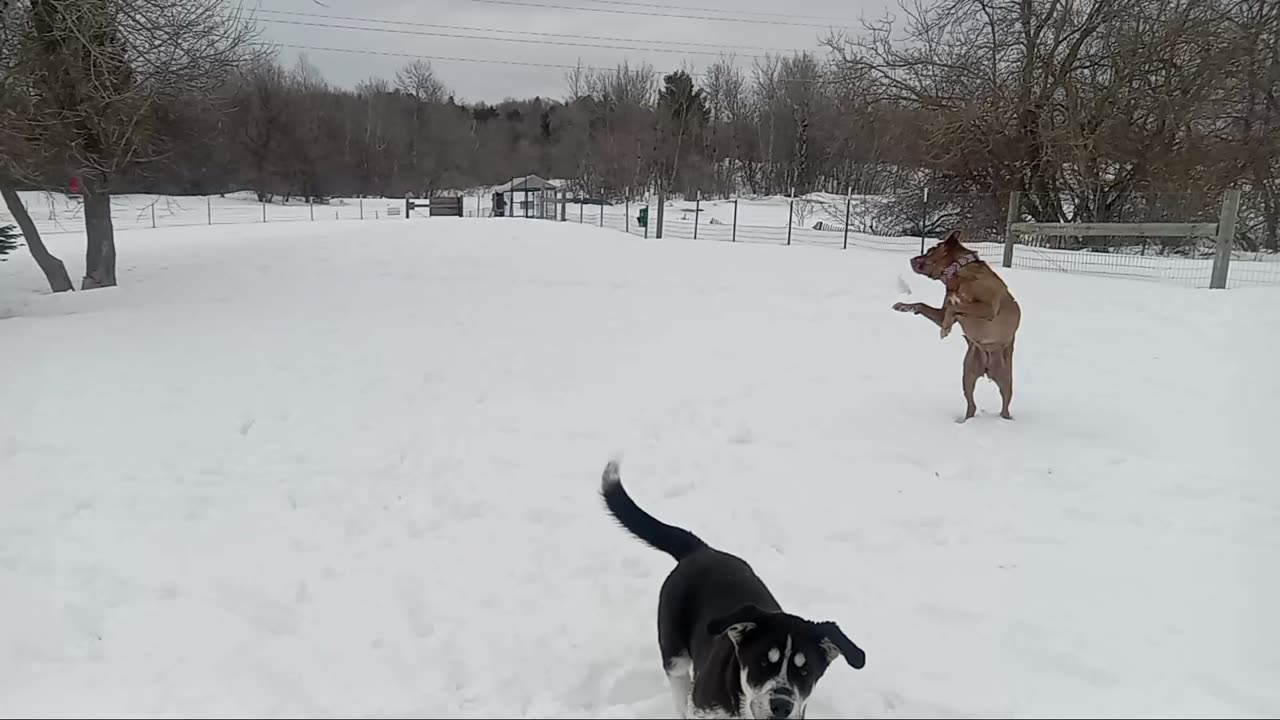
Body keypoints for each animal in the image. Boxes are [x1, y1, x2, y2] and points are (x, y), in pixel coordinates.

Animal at [896, 229, 1024, 420]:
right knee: (972, 405)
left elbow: (955, 308)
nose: (912, 259)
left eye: (931, 250)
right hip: (968, 374)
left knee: (1005, 406)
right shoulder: (942, 312)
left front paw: (945, 329)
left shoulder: (988, 307)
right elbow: (923, 305)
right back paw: (965, 421)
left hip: (1005, 380)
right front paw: (903, 306)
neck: (958, 274)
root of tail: (987, 369)